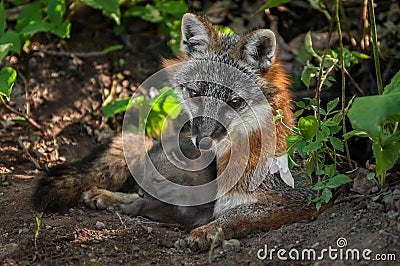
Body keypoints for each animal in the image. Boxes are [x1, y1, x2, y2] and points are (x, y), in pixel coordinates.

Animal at [32, 12, 324, 249]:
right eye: (194, 93)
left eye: (234, 102)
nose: (202, 142)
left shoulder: (303, 199)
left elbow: (240, 213)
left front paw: (209, 231)